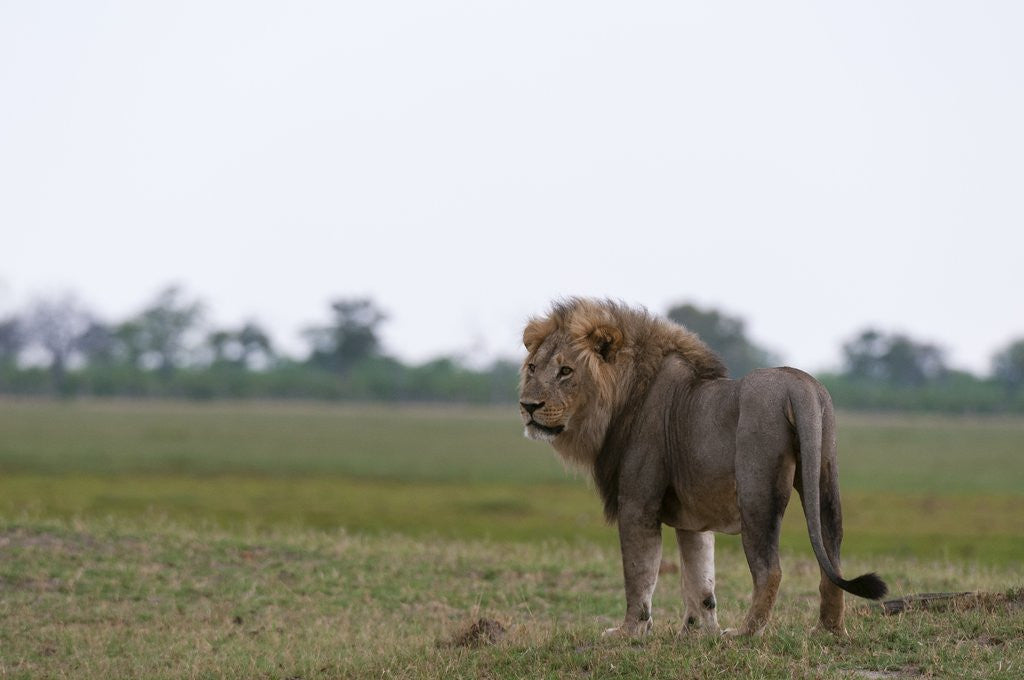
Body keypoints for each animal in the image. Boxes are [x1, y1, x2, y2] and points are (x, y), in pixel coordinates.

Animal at [518, 298, 887, 637]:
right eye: (533, 368)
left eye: (566, 371)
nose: (528, 406)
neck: (621, 400)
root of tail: (800, 385)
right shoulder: (691, 515)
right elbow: (700, 577)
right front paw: (696, 633)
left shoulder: (637, 503)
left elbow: (639, 575)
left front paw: (629, 632)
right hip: (824, 476)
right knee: (832, 557)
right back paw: (827, 631)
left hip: (756, 491)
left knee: (770, 570)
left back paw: (743, 634)